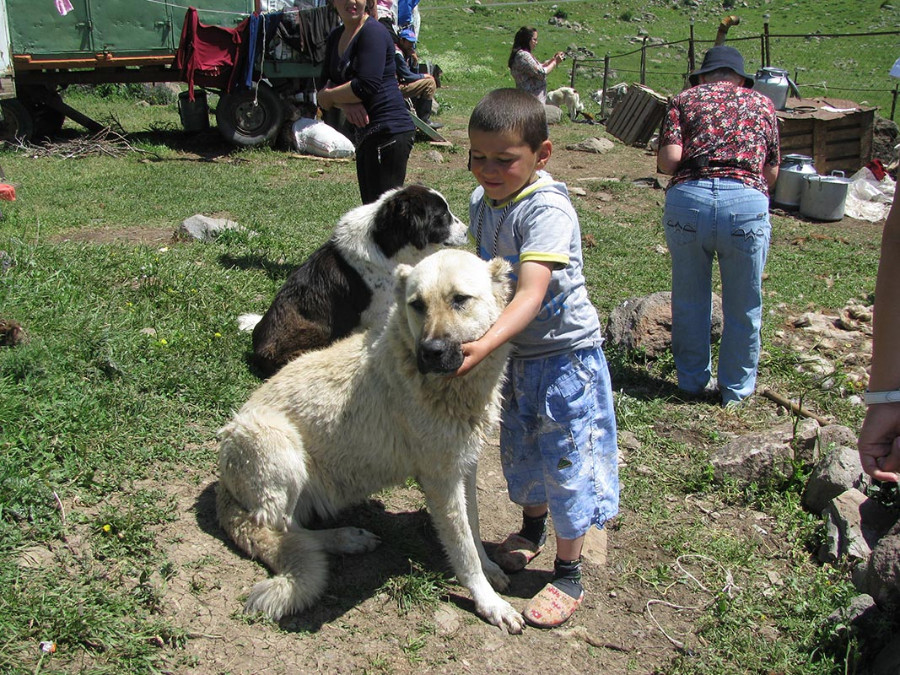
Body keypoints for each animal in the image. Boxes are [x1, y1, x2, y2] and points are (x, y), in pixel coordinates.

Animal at [219, 248, 528, 632]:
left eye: (460, 300)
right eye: (417, 304)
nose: (430, 352)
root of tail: (222, 484)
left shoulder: (463, 468)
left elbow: (473, 526)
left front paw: (490, 570)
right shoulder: (441, 481)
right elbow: (463, 548)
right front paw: (488, 601)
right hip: (280, 446)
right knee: (283, 531)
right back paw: (345, 539)